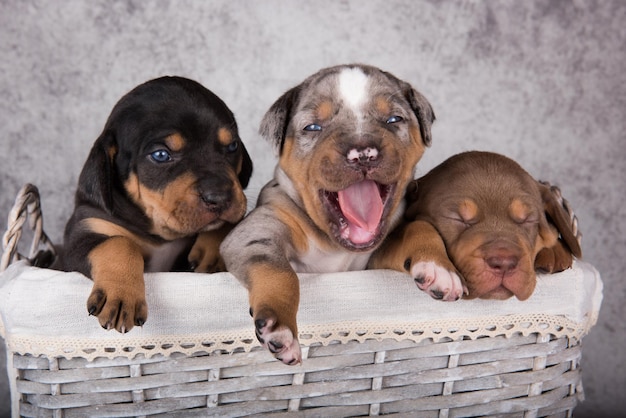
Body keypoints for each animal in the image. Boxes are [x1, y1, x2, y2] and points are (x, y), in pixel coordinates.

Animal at [60, 76, 251, 334]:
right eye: (160, 155)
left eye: (232, 147)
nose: (219, 197)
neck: (158, 233)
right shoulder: (81, 236)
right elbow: (118, 243)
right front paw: (122, 295)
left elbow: (232, 222)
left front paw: (214, 248)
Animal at [370, 152, 580, 302]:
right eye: (458, 219)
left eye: (527, 220)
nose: (504, 263)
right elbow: (419, 226)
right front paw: (437, 265)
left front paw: (555, 250)